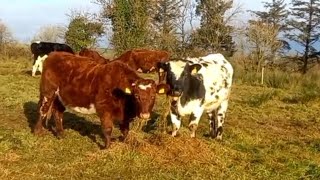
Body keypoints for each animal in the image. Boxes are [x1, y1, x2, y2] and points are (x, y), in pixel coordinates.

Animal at [33, 51, 166, 149]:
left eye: (153, 96)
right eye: (136, 96)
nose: (145, 115)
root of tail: (54, 54)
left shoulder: (125, 116)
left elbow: (125, 130)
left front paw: (126, 142)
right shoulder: (104, 108)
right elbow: (107, 129)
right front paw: (107, 148)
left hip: (60, 97)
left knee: (57, 113)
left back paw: (61, 134)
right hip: (48, 92)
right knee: (43, 109)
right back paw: (38, 132)